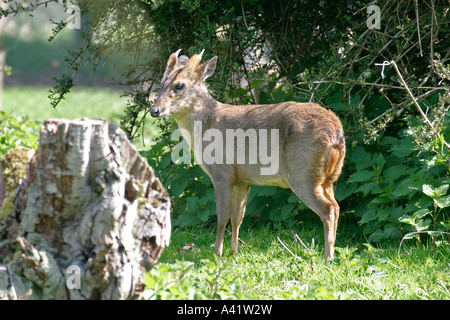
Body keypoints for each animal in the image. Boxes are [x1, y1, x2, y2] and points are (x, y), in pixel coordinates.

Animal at [149, 48, 346, 262]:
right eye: (162, 82)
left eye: (179, 85)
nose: (154, 110)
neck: (206, 125)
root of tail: (336, 133)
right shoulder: (242, 180)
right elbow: (237, 218)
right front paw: (234, 252)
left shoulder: (221, 173)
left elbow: (222, 217)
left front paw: (217, 254)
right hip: (327, 178)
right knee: (336, 206)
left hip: (302, 172)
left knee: (328, 209)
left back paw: (328, 257)